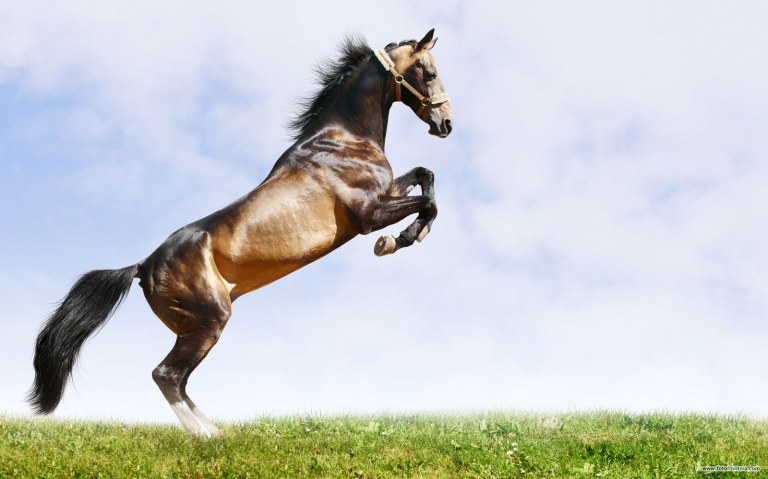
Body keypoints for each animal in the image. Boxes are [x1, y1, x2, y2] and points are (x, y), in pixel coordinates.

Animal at [28, 29, 452, 438]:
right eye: (430, 73)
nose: (446, 124)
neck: (343, 139)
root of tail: (142, 266)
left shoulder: (387, 193)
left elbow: (426, 176)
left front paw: (409, 234)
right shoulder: (368, 214)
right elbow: (427, 203)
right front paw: (396, 241)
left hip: (194, 327)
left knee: (179, 380)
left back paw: (217, 431)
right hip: (209, 320)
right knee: (166, 375)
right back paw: (205, 437)